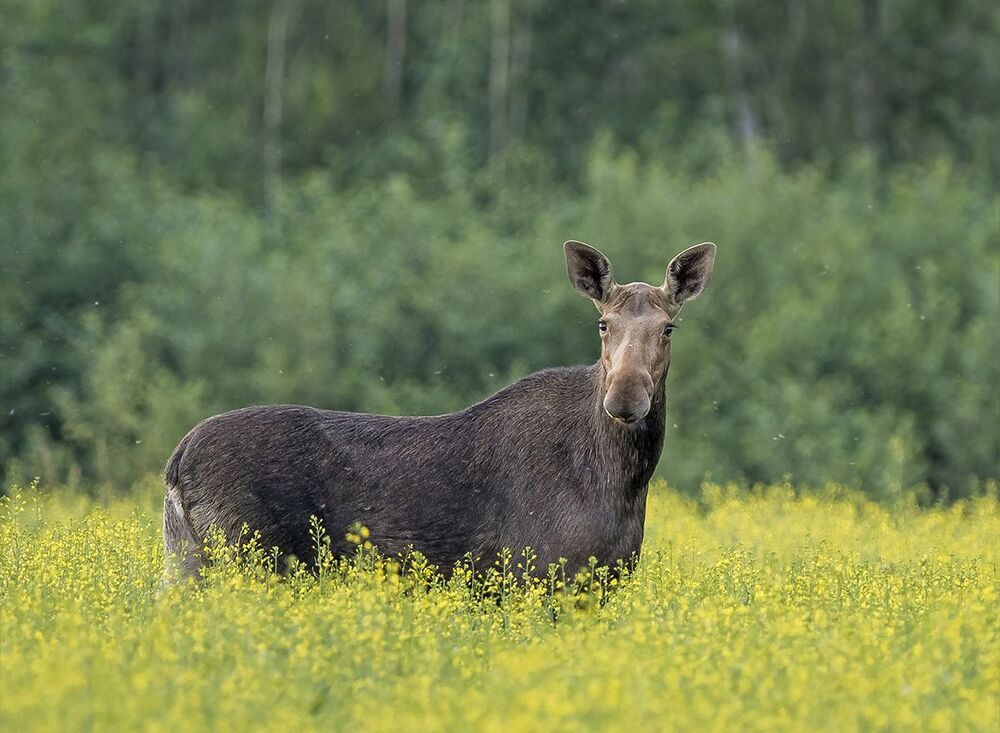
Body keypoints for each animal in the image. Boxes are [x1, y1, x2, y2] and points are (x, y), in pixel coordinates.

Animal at [163, 240, 716, 580]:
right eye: (602, 324)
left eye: (668, 327)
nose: (624, 397)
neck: (627, 480)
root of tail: (176, 460)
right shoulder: (537, 575)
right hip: (246, 557)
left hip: (186, 560)